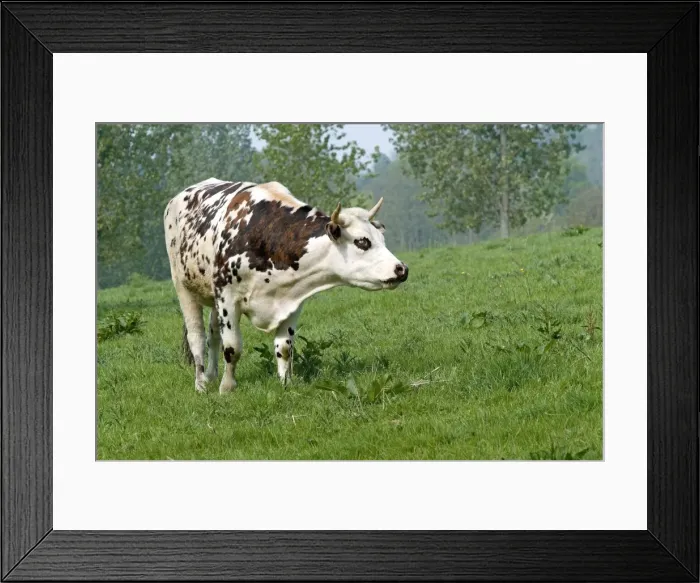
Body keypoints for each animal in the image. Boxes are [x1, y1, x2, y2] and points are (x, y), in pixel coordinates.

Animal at [164, 177, 409, 394]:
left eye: (381, 239)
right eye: (362, 242)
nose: (402, 269)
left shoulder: (292, 301)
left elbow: (284, 347)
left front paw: (285, 384)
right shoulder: (228, 296)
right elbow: (232, 347)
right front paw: (227, 387)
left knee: (213, 334)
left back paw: (211, 374)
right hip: (183, 288)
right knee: (197, 337)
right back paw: (201, 384)